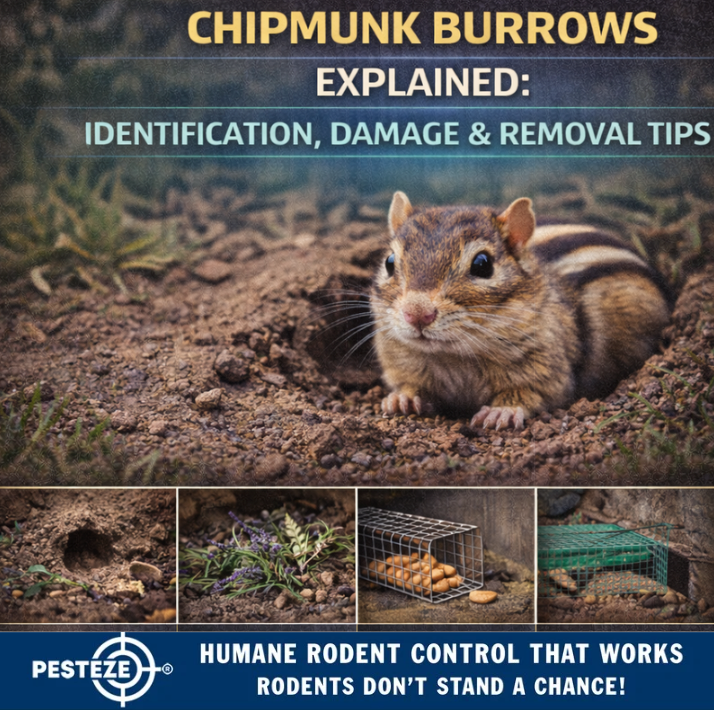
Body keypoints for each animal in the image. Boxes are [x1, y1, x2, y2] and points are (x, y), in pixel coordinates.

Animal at [370, 191, 671, 430]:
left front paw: (499, 412)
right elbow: (408, 384)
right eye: (389, 262)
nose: (417, 314)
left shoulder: (548, 373)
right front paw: (402, 398)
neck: (452, 357)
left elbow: (528, 394)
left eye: (483, 264)